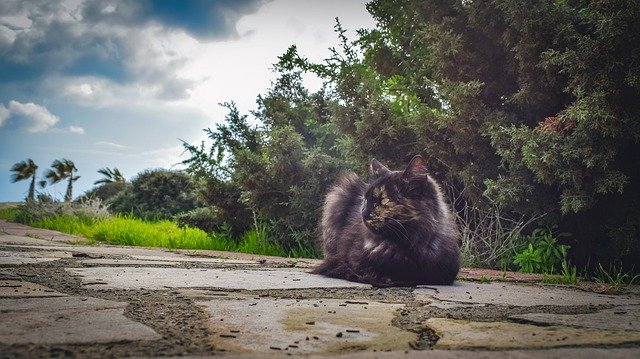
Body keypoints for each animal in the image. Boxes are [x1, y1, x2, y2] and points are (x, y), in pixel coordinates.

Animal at [314, 156, 460, 288]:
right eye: (365, 200)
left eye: (381, 201)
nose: (363, 213)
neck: (407, 244)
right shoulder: (352, 260)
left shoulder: (446, 273)